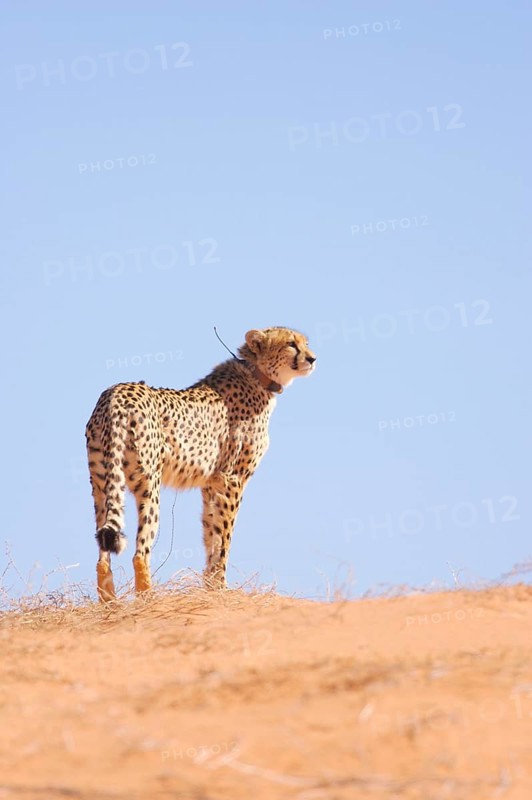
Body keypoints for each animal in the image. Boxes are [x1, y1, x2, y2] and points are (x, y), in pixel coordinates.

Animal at [85, 327, 316, 601]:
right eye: (291, 344)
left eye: (305, 343)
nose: (312, 358)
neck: (257, 374)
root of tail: (117, 393)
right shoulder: (232, 479)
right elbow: (224, 537)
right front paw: (222, 587)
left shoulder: (211, 483)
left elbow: (211, 533)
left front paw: (210, 586)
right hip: (149, 485)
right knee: (140, 553)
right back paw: (148, 599)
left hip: (101, 484)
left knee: (102, 553)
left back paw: (110, 604)